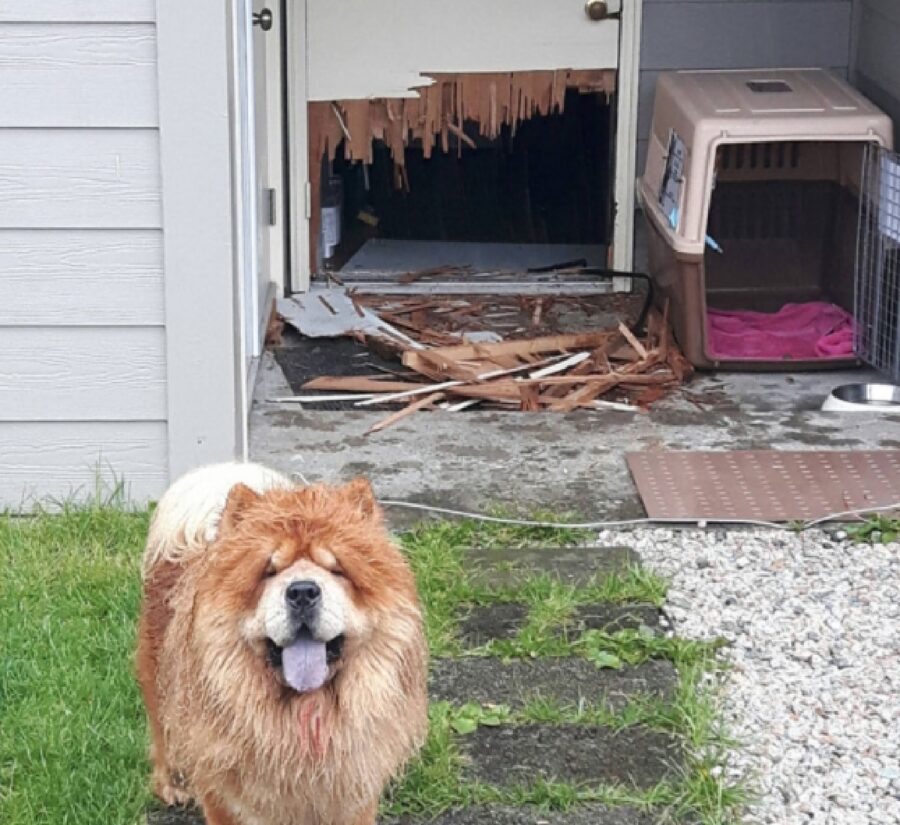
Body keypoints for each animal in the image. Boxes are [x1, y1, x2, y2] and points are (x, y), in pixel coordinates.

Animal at [134, 464, 428, 824]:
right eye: (269, 570)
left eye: (337, 569)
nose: (302, 591)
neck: (304, 719)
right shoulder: (224, 796)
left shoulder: (353, 793)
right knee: (164, 737)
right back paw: (173, 786)